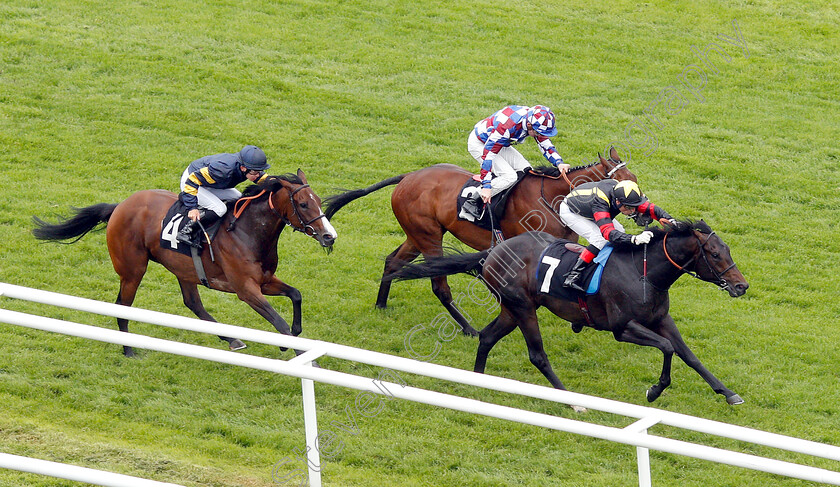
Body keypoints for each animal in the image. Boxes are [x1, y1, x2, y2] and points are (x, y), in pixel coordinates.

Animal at [32, 172, 336, 358]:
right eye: (303, 204)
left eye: (319, 201)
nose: (328, 236)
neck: (248, 232)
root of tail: (119, 206)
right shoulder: (246, 289)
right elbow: (277, 320)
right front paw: (302, 355)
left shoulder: (264, 280)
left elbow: (296, 294)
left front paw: (294, 337)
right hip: (132, 269)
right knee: (122, 304)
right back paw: (128, 349)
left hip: (184, 269)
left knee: (193, 304)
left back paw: (232, 339)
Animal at [324, 147, 632, 338]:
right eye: (619, 183)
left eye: (635, 178)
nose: (638, 207)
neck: (552, 198)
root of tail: (407, 177)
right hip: (428, 237)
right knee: (439, 286)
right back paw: (468, 329)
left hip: (416, 235)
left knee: (393, 262)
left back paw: (381, 305)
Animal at [390, 223, 752, 406]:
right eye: (715, 254)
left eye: (727, 250)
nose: (741, 286)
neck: (644, 271)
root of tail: (494, 250)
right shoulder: (623, 328)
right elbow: (667, 348)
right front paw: (655, 390)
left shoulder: (661, 319)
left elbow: (688, 354)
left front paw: (727, 393)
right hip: (523, 308)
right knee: (537, 354)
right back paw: (571, 399)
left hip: (513, 308)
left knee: (487, 337)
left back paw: (479, 381)